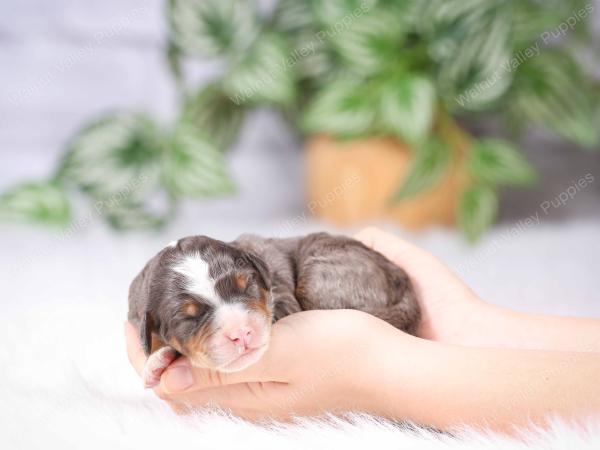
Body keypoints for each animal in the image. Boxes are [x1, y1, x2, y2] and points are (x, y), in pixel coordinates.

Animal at [129, 232, 420, 386]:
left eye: (247, 285)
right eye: (189, 317)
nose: (241, 333)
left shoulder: (281, 293)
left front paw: (159, 359)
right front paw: (157, 359)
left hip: (321, 276)